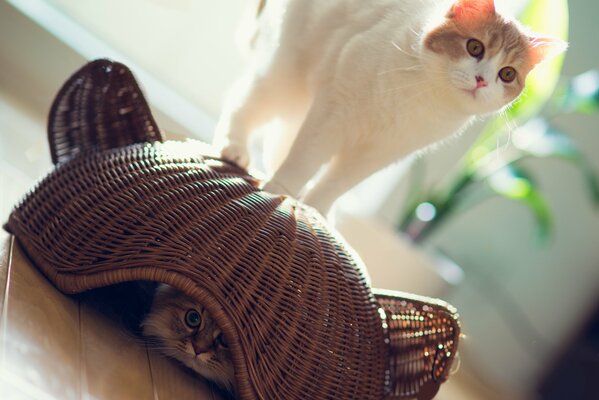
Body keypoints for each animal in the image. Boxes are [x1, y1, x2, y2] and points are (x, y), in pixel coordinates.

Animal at [216, 0, 568, 216]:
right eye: (474, 47)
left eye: (506, 74)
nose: (482, 81)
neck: (425, 97)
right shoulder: (333, 113)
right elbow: (302, 163)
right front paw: (279, 192)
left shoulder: (383, 152)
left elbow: (336, 184)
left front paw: (316, 210)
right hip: (285, 75)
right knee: (243, 104)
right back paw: (235, 149)